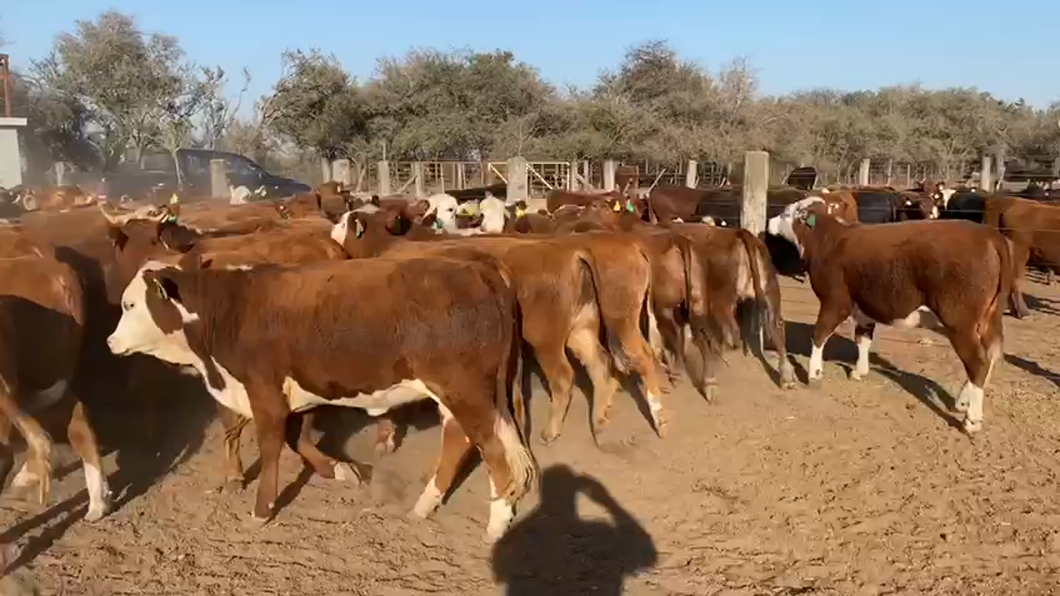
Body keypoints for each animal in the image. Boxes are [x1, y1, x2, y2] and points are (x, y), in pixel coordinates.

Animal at [107, 250, 538, 538]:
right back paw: (424, 505)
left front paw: (261, 510)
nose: (110, 342)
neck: (230, 310)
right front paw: (344, 470)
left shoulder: (265, 394)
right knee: (461, 441)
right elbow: (298, 439)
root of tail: (478, 266)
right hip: (461, 395)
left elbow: (273, 447)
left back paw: (498, 523)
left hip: (463, 390)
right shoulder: (292, 394)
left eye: (130, 304)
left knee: (490, 451)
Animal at [771, 196, 1009, 430]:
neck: (829, 240)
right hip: (988, 319)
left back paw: (972, 420)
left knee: (978, 362)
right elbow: (863, 340)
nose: (770, 221)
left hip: (959, 322)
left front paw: (814, 374)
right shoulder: (865, 310)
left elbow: (819, 335)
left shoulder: (835, 302)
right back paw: (962, 402)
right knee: (990, 357)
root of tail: (988, 235)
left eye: (786, 213)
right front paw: (859, 371)